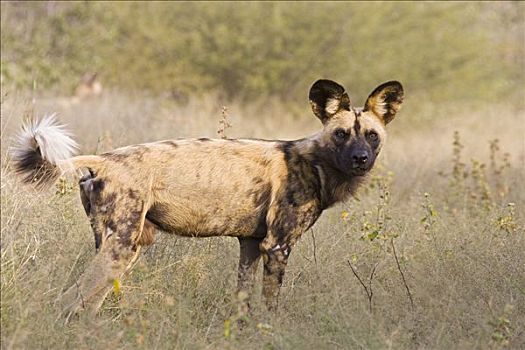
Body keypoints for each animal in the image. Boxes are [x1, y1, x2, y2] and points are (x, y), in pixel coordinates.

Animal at [12, 78, 404, 318]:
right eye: (341, 134)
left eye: (371, 135)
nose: (360, 159)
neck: (316, 162)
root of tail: (103, 159)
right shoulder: (277, 246)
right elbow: (271, 307)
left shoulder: (252, 244)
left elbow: (243, 304)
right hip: (122, 247)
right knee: (70, 300)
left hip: (119, 246)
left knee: (87, 302)